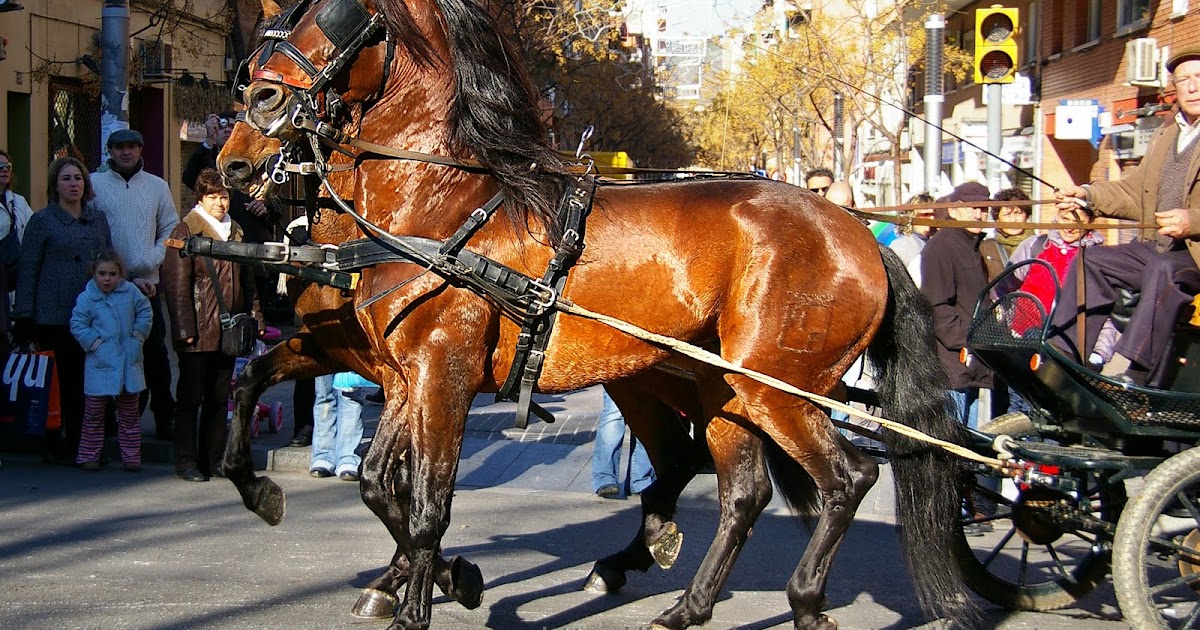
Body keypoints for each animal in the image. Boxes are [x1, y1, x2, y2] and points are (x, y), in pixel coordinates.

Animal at [223, 0, 973, 628]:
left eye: (340, 17)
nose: (252, 114)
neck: (442, 206)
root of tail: (858, 232)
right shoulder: (405, 376)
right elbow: (379, 481)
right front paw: (438, 577)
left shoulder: (443, 374)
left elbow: (429, 501)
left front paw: (420, 600)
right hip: (722, 390)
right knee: (741, 491)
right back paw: (685, 603)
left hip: (776, 389)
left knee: (848, 479)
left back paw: (804, 599)